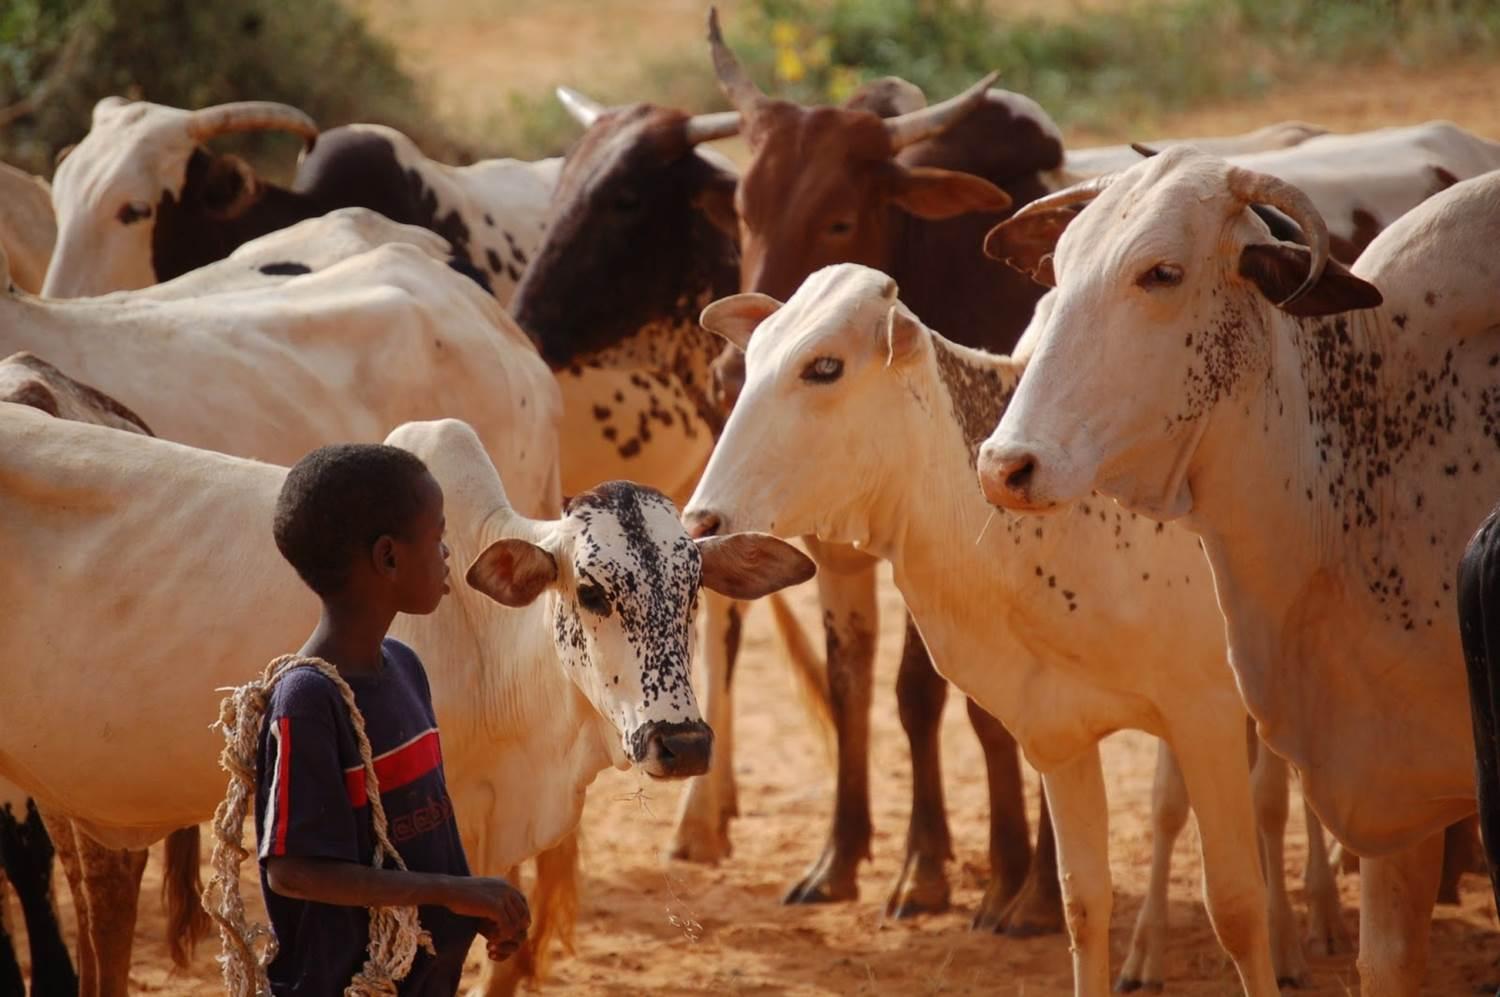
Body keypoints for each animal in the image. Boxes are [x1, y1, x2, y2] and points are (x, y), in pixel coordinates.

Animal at [684, 262, 1362, 989]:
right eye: (753, 359)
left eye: (825, 366)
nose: (700, 520)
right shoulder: (1060, 733)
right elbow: (1084, 904)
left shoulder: (1205, 714)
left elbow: (1236, 905)